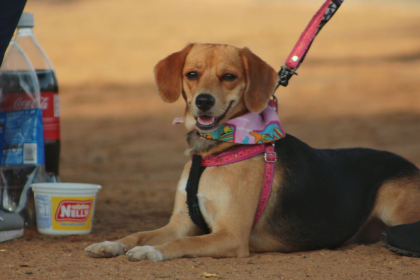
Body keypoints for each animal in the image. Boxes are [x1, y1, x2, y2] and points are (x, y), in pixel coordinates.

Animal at [84, 43, 420, 260]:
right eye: (192, 74)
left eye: (229, 76)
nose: (203, 101)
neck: (215, 151)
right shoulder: (180, 223)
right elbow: (138, 233)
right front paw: (111, 244)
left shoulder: (230, 236)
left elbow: (181, 245)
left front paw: (152, 251)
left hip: (393, 206)